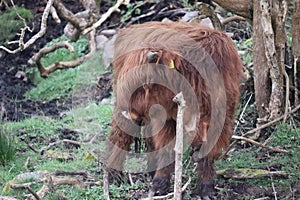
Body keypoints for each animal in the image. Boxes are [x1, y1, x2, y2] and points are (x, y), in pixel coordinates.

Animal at [106, 21, 243, 197]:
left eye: (144, 84)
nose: (130, 112)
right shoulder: (167, 120)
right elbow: (167, 150)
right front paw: (159, 186)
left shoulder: (221, 119)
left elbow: (208, 153)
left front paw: (206, 188)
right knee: (119, 137)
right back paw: (113, 176)